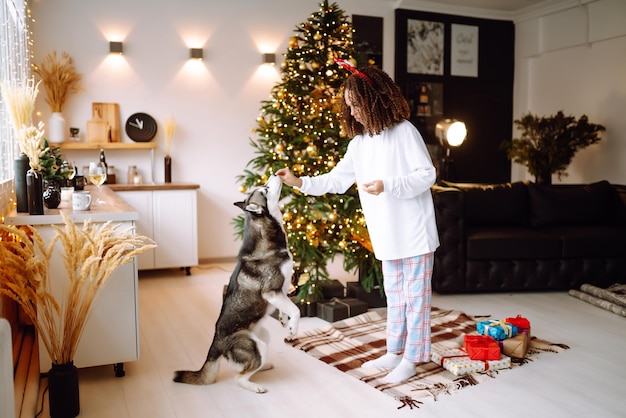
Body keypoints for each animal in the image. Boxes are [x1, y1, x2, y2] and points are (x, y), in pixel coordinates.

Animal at [173, 175, 300, 394]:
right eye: (265, 190)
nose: (276, 174)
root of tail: (215, 344)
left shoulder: (281, 292)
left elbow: (288, 308)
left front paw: (285, 320)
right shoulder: (272, 292)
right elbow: (296, 309)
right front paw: (293, 329)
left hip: (263, 336)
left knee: (250, 366)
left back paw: (263, 366)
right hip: (255, 345)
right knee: (238, 378)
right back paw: (254, 386)